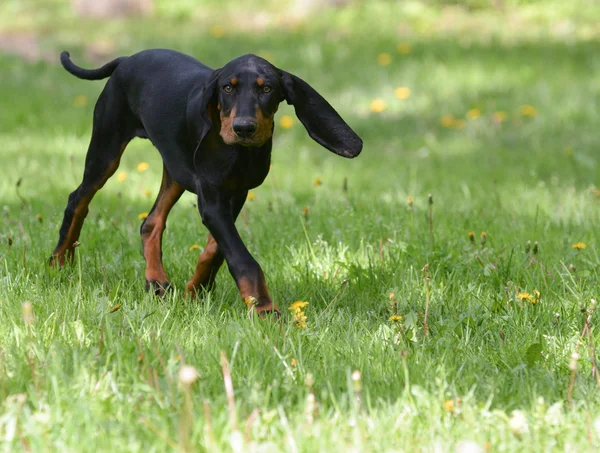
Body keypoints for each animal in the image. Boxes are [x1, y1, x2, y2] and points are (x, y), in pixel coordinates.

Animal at [50, 49, 360, 314]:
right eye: (228, 88)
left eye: (267, 89)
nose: (244, 128)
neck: (241, 153)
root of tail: (126, 59)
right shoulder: (212, 199)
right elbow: (242, 259)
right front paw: (263, 308)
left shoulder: (236, 193)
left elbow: (216, 249)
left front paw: (196, 291)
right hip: (107, 148)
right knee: (78, 198)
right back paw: (60, 261)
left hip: (175, 168)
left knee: (151, 222)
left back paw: (156, 281)